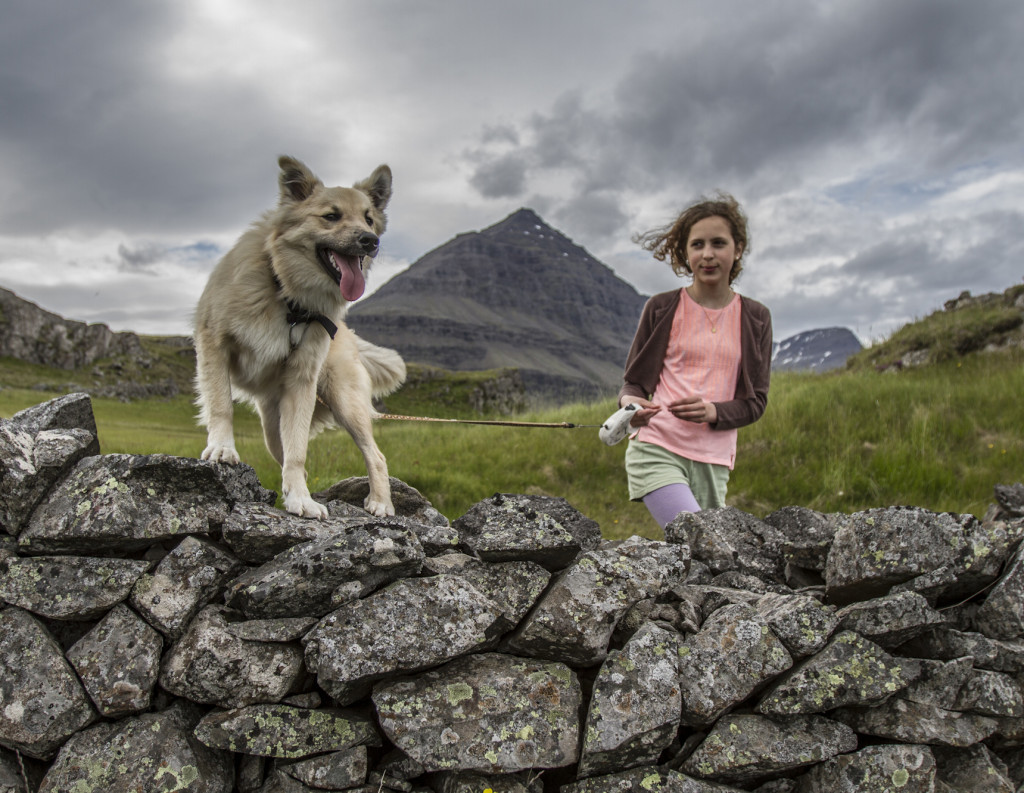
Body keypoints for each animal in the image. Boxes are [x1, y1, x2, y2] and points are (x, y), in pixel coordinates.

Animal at [192, 155, 403, 522]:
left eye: (369, 219)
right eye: (331, 216)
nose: (370, 240)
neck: (288, 294)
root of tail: (350, 337)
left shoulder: (301, 380)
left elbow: (298, 451)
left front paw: (301, 500)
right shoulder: (213, 343)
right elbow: (220, 405)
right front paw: (222, 447)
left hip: (346, 403)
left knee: (375, 455)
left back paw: (380, 502)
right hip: (271, 427)